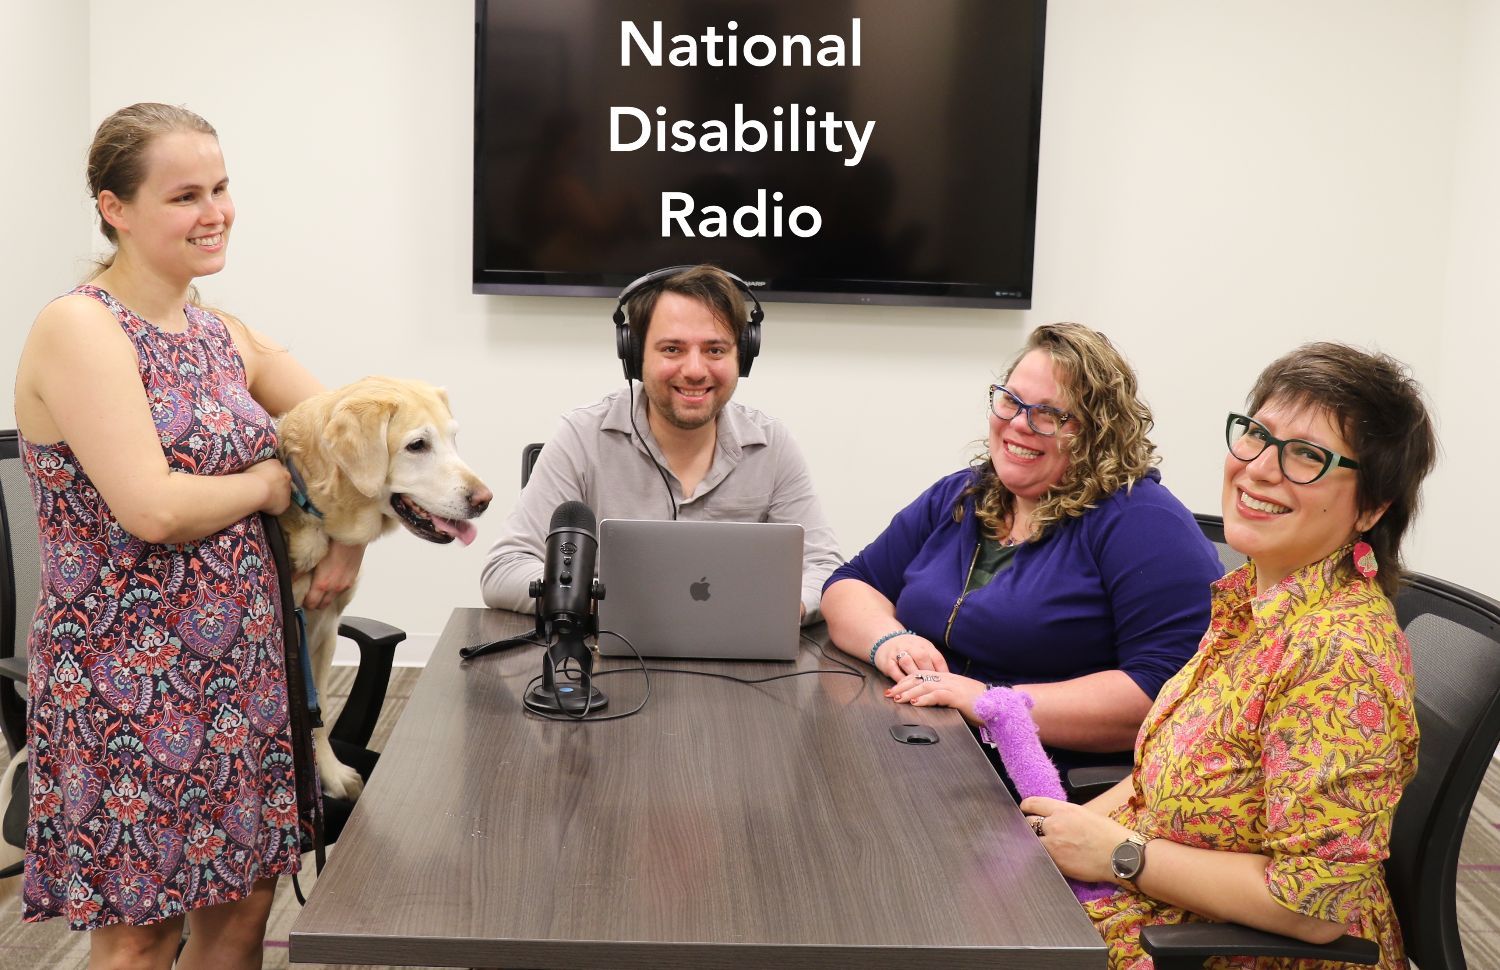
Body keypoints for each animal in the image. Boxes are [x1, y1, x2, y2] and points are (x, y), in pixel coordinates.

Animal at [277, 379, 492, 803]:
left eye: (453, 438)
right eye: (417, 445)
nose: (484, 500)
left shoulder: (323, 630)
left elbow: (317, 713)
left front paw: (330, 775)